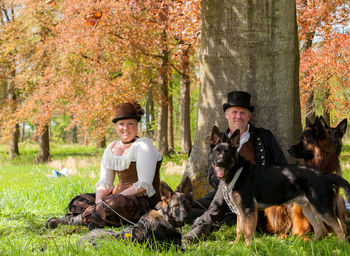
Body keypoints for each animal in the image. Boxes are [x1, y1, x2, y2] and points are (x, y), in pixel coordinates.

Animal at [211, 126, 350, 246]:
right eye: (217, 152)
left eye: (227, 152)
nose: (219, 163)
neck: (237, 169)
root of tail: (324, 175)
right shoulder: (240, 211)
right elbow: (239, 229)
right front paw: (236, 244)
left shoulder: (248, 210)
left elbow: (247, 231)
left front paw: (247, 247)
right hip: (309, 209)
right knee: (320, 230)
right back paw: (312, 244)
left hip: (322, 209)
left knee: (339, 228)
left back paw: (341, 245)